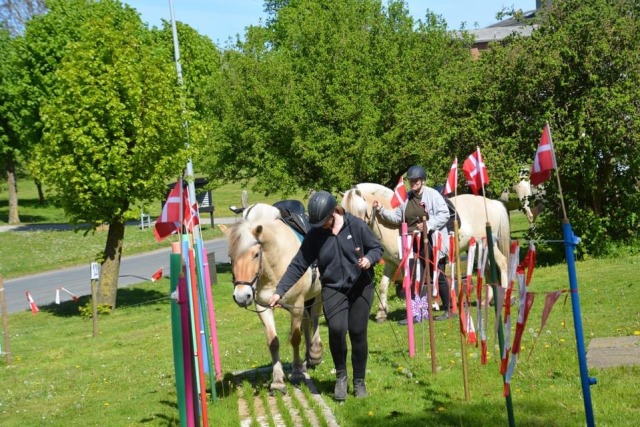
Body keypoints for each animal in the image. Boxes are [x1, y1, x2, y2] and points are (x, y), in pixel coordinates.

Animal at [220, 206, 322, 392]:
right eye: (230, 256)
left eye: (255, 254)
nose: (241, 296)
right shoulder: (263, 307)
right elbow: (273, 342)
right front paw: (278, 380)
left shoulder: (296, 303)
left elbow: (295, 338)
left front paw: (296, 373)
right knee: (307, 321)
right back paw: (307, 359)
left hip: (318, 293)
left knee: (315, 317)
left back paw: (315, 353)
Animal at [340, 182, 510, 322]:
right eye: (343, 211)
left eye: (360, 209)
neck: (394, 226)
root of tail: (491, 203)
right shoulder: (390, 263)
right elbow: (383, 285)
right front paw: (382, 313)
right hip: (480, 247)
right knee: (487, 269)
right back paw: (487, 300)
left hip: (487, 244)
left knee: (502, 263)